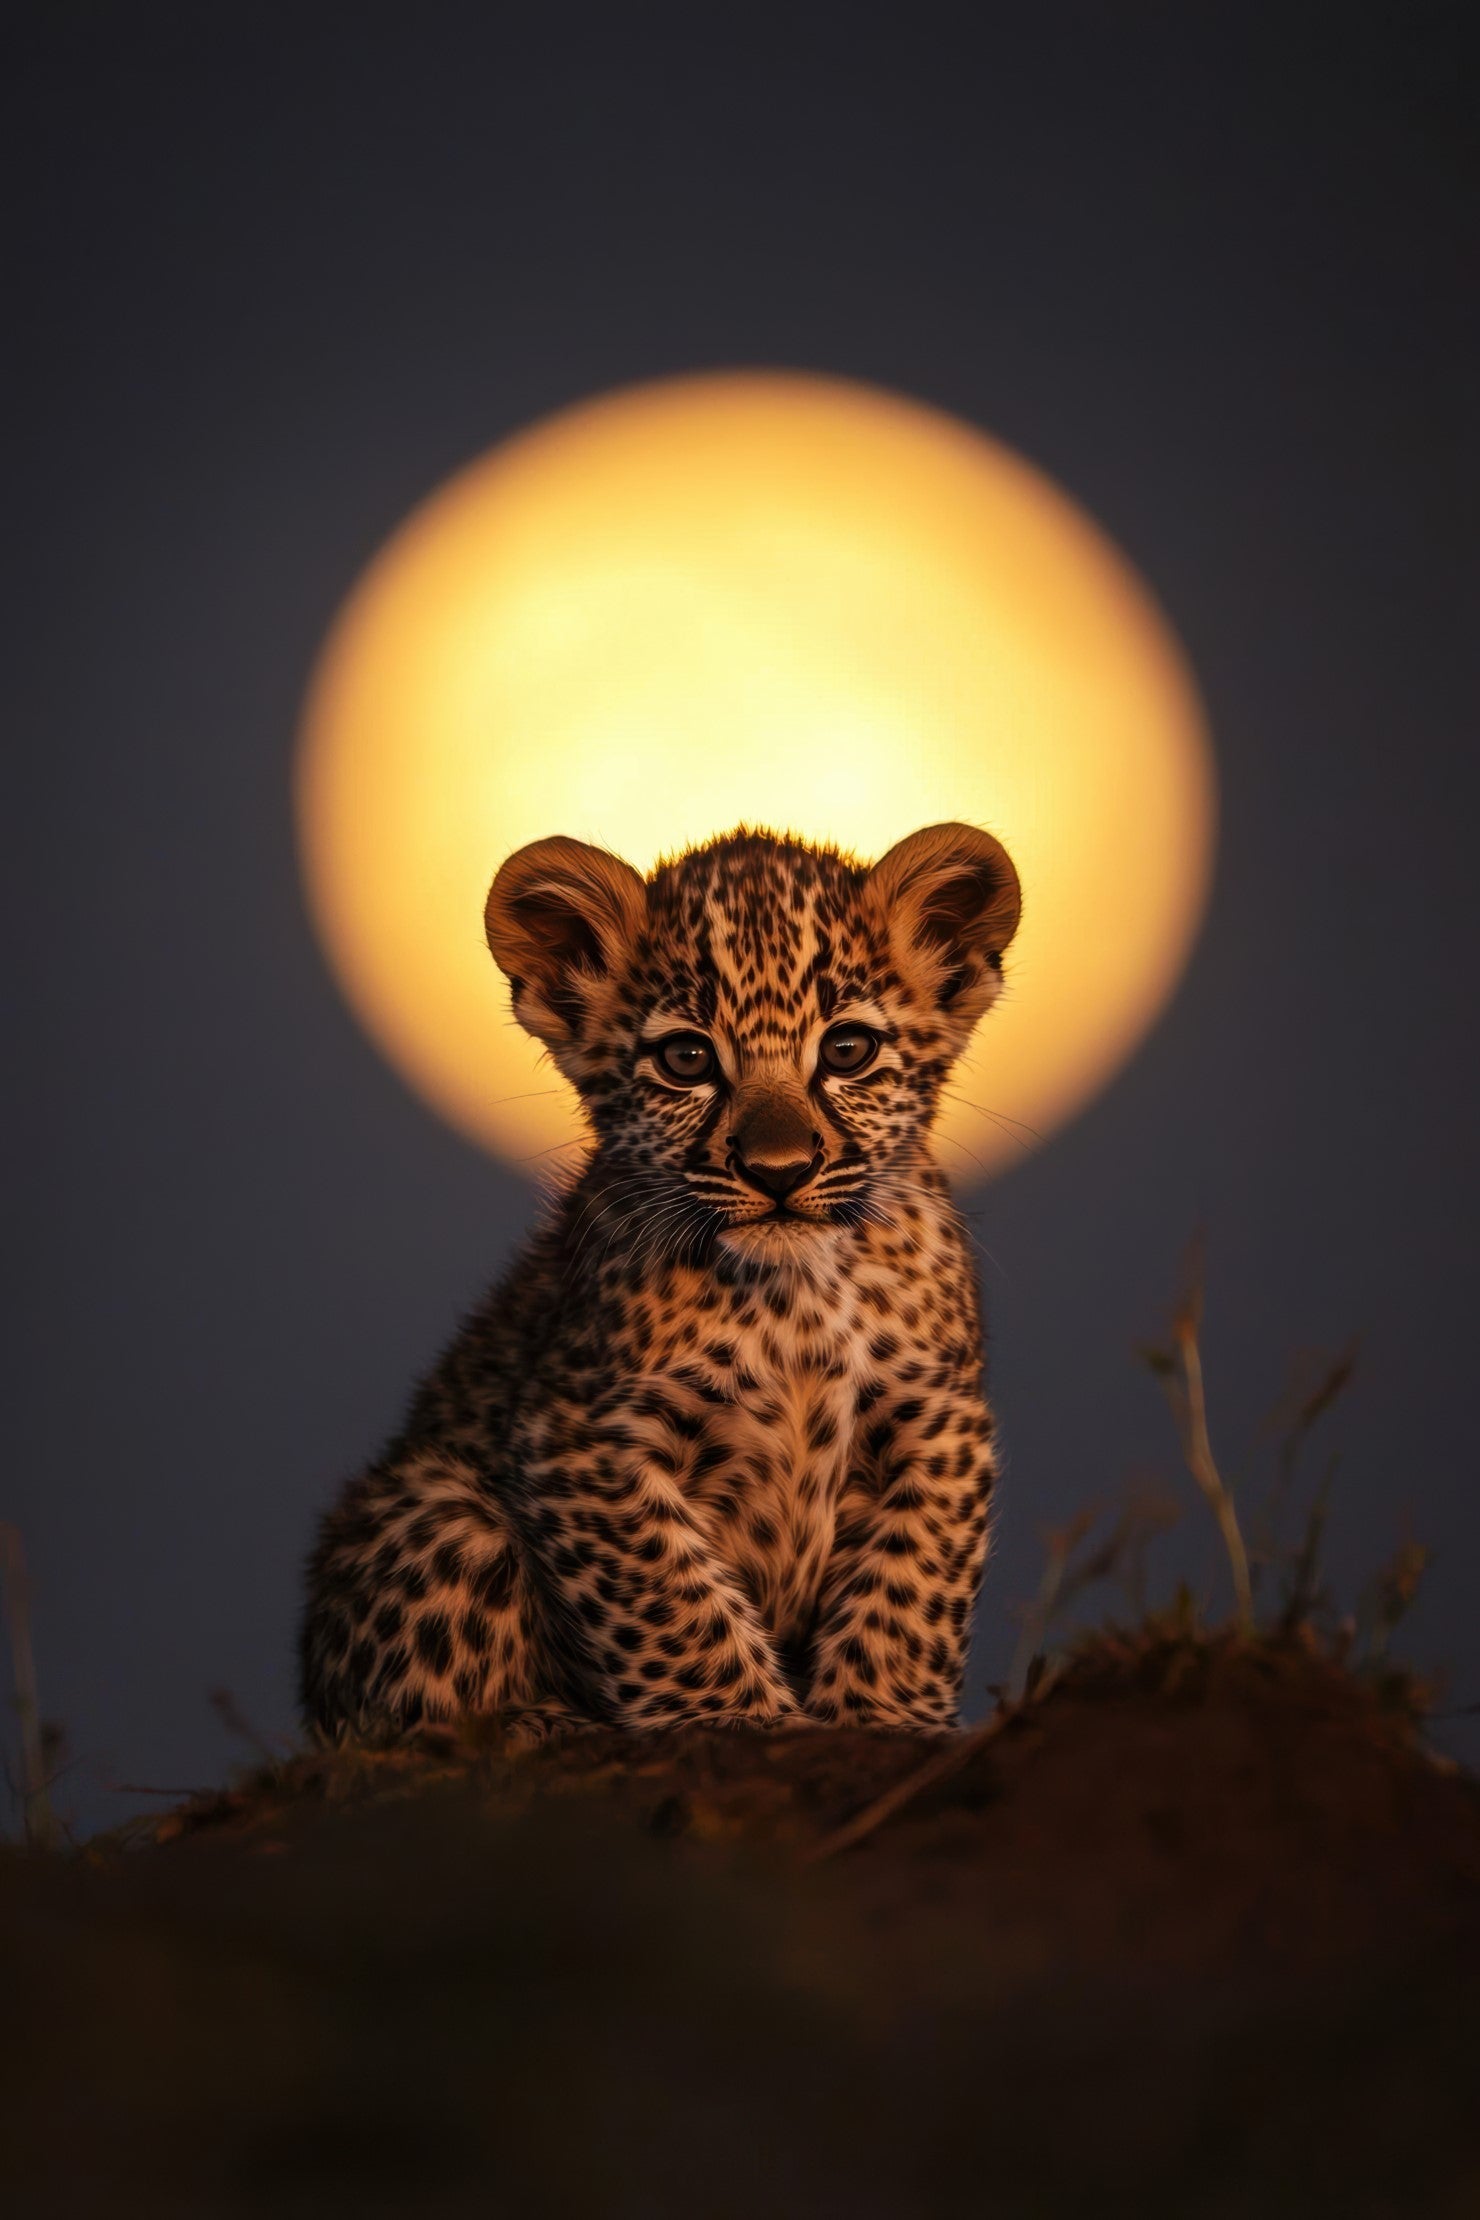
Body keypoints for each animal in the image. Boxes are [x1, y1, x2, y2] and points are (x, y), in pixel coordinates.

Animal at [300, 819, 1022, 1739]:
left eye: (848, 1051)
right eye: (686, 1060)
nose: (779, 1171)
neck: (797, 1298)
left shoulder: (934, 1417)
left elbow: (909, 1585)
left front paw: (882, 1714)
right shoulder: (582, 1436)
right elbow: (672, 1600)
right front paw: (735, 1717)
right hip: (443, 1515)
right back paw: (537, 1722)